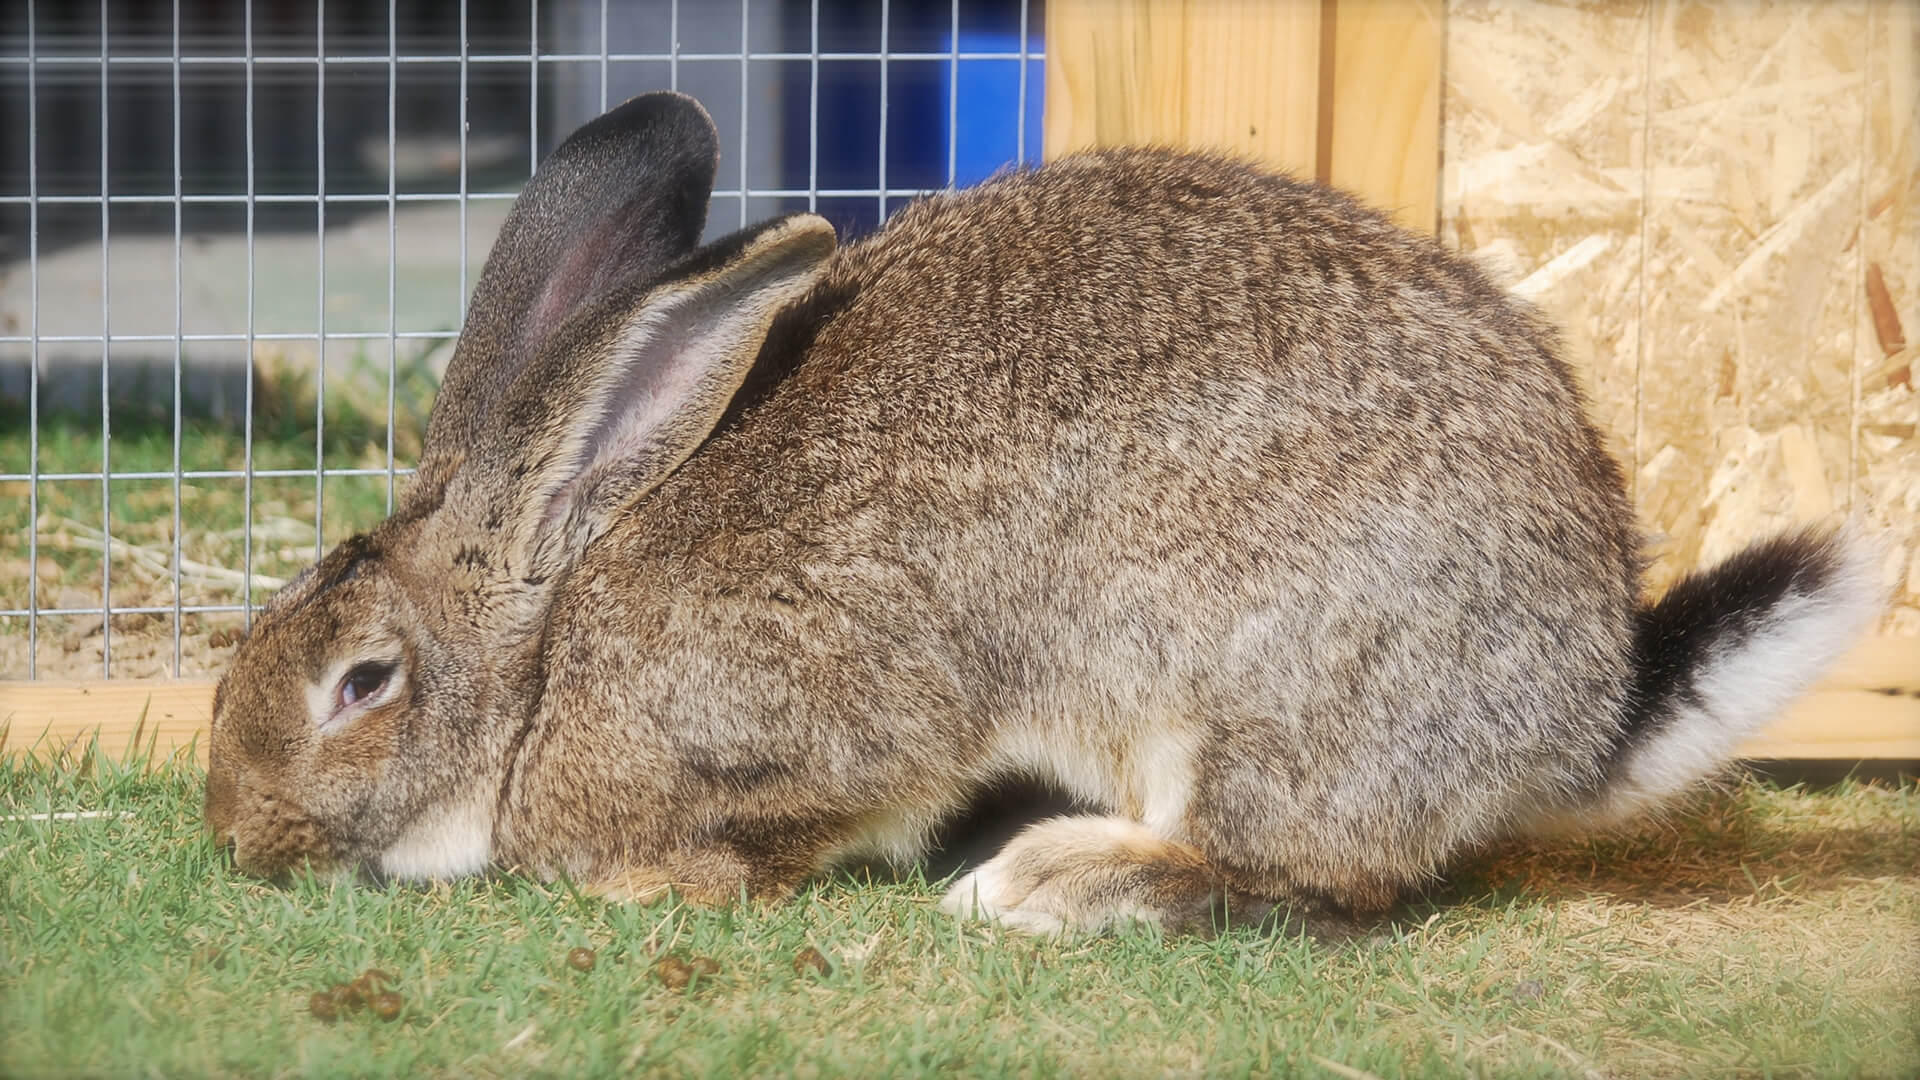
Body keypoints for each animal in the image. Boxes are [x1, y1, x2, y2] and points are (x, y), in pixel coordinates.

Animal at [202, 94, 1881, 933]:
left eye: (361, 683)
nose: (235, 837)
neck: (547, 655)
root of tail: (1583, 710)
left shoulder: (826, 720)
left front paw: (663, 881)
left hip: (1252, 699)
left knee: (1298, 879)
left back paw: (1041, 885)